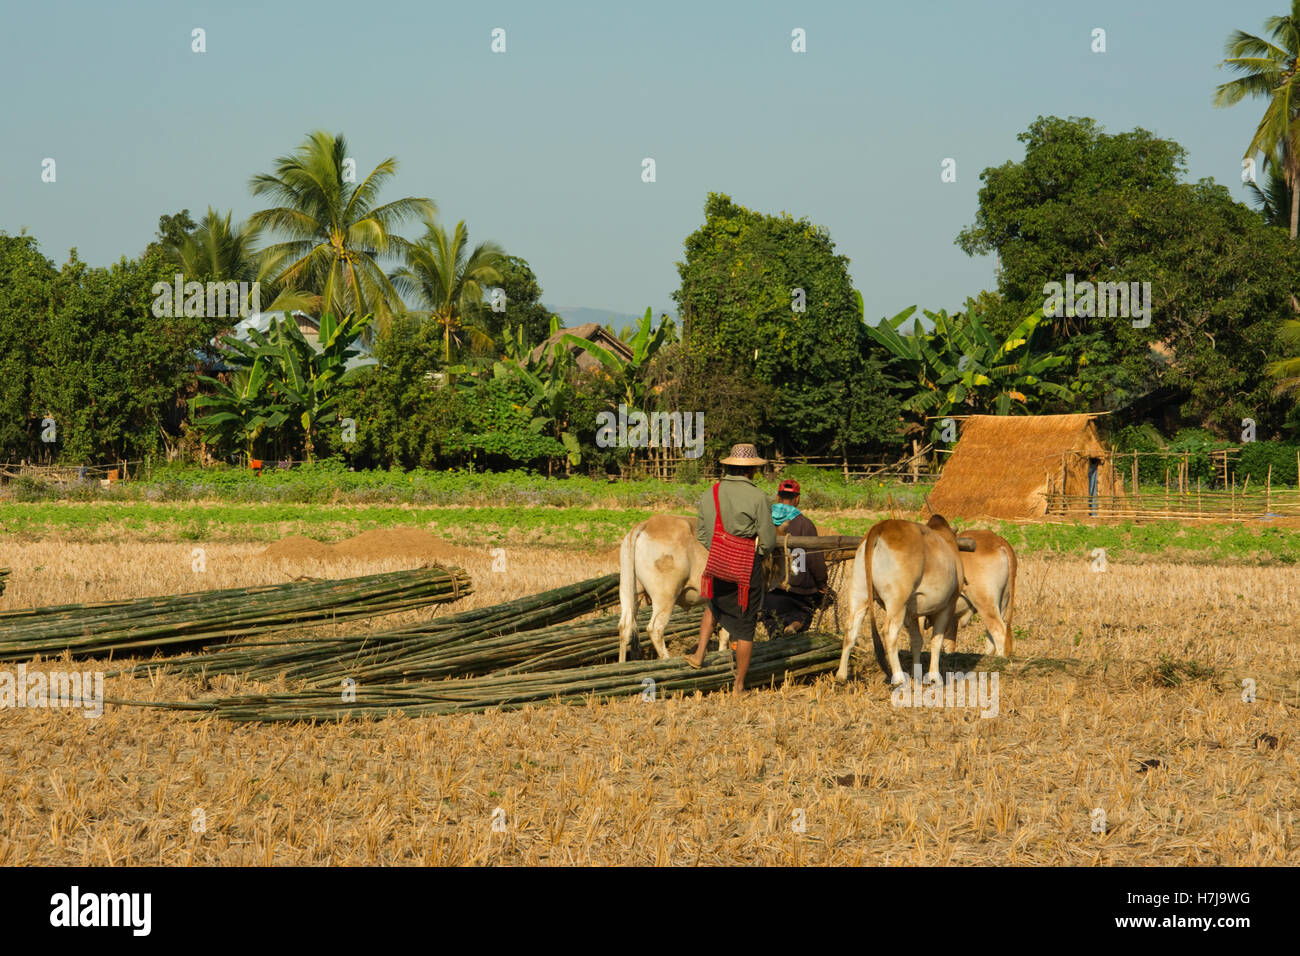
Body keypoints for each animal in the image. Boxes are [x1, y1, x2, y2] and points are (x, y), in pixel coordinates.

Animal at [837, 515, 972, 686]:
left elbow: (916, 640)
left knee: (851, 629)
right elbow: (936, 641)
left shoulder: (911, 613)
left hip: (859, 594)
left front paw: (918, 673)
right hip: (897, 602)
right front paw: (934, 676)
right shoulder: (947, 606)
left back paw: (841, 676)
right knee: (889, 632)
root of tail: (882, 526)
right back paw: (899, 678)